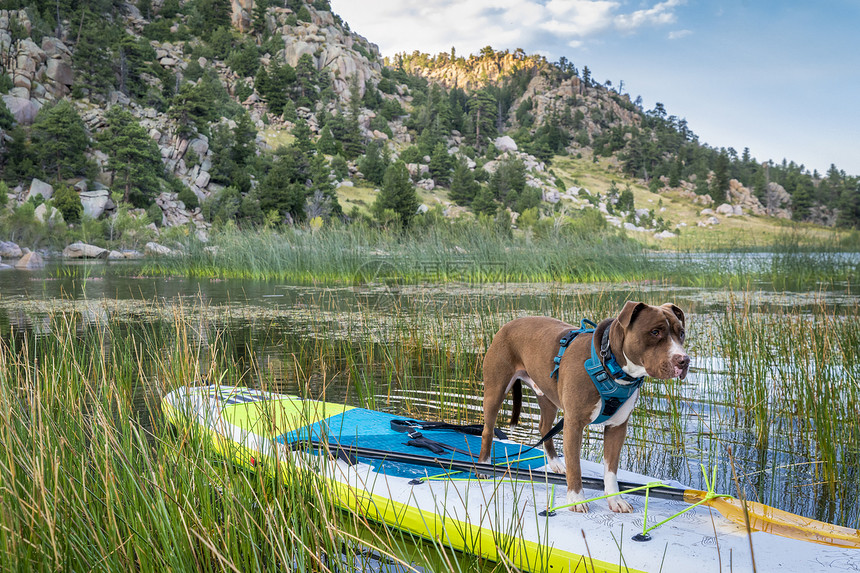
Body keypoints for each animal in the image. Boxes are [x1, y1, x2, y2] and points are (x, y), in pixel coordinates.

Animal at [480, 302, 688, 512]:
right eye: (655, 332)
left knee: (544, 428)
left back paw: (555, 464)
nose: (684, 360)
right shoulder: (574, 423)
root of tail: (508, 324)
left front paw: (615, 499)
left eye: (682, 333)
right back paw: (484, 465)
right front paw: (576, 499)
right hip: (495, 389)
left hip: (547, 397)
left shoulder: (617, 427)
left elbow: (611, 469)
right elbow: (575, 465)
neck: (611, 366)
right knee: (488, 430)